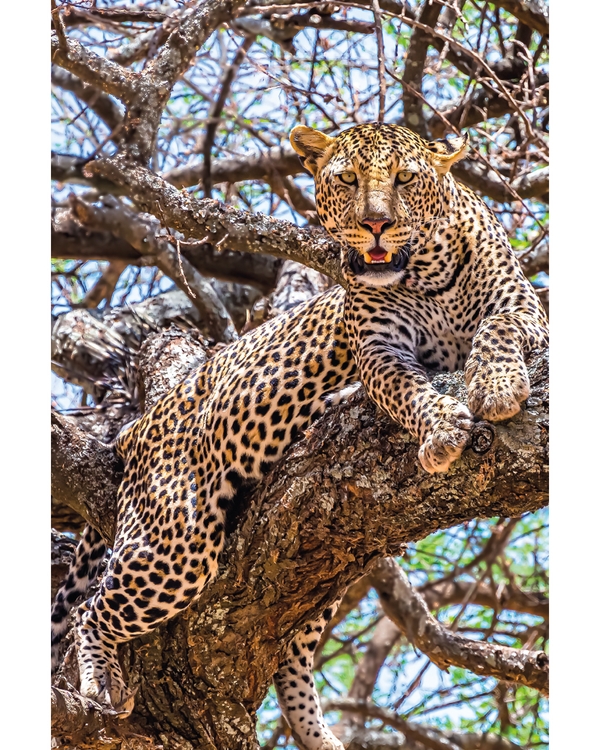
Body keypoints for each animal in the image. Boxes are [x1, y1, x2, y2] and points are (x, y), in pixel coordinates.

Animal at [51, 122, 548, 750]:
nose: (376, 224)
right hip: (176, 538)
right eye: (348, 180)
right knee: (90, 610)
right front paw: (442, 427)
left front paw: (499, 385)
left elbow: (498, 327)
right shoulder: (378, 349)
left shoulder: (526, 312)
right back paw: (101, 683)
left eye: (405, 179)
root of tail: (140, 423)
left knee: (292, 648)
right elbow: (405, 391)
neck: (430, 273)